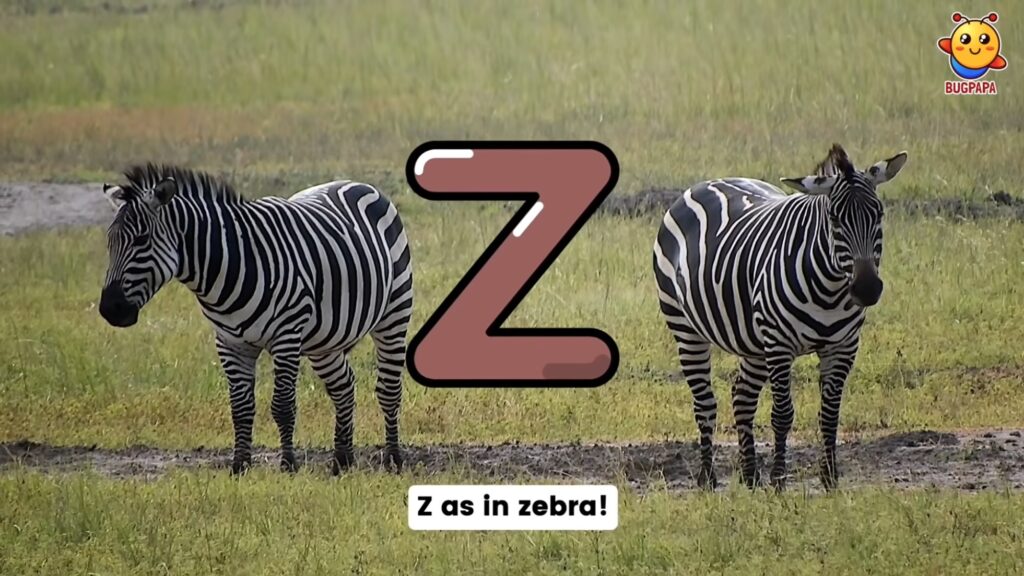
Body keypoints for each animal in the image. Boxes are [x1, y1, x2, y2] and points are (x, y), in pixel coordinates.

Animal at [98, 164, 413, 475]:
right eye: (109, 243)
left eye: (141, 240)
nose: (109, 310)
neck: (231, 266)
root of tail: (355, 182)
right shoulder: (230, 343)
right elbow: (240, 407)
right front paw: (240, 467)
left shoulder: (287, 335)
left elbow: (282, 406)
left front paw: (288, 466)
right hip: (325, 340)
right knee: (344, 386)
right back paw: (341, 461)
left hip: (394, 313)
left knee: (388, 390)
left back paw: (393, 460)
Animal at [652, 144, 907, 491]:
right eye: (834, 218)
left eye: (878, 214)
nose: (867, 289)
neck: (830, 289)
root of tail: (710, 181)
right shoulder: (779, 344)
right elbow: (783, 414)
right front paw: (779, 481)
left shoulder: (843, 347)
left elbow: (830, 413)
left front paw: (830, 480)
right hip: (687, 329)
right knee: (705, 403)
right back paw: (708, 479)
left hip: (752, 341)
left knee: (742, 396)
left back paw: (749, 477)